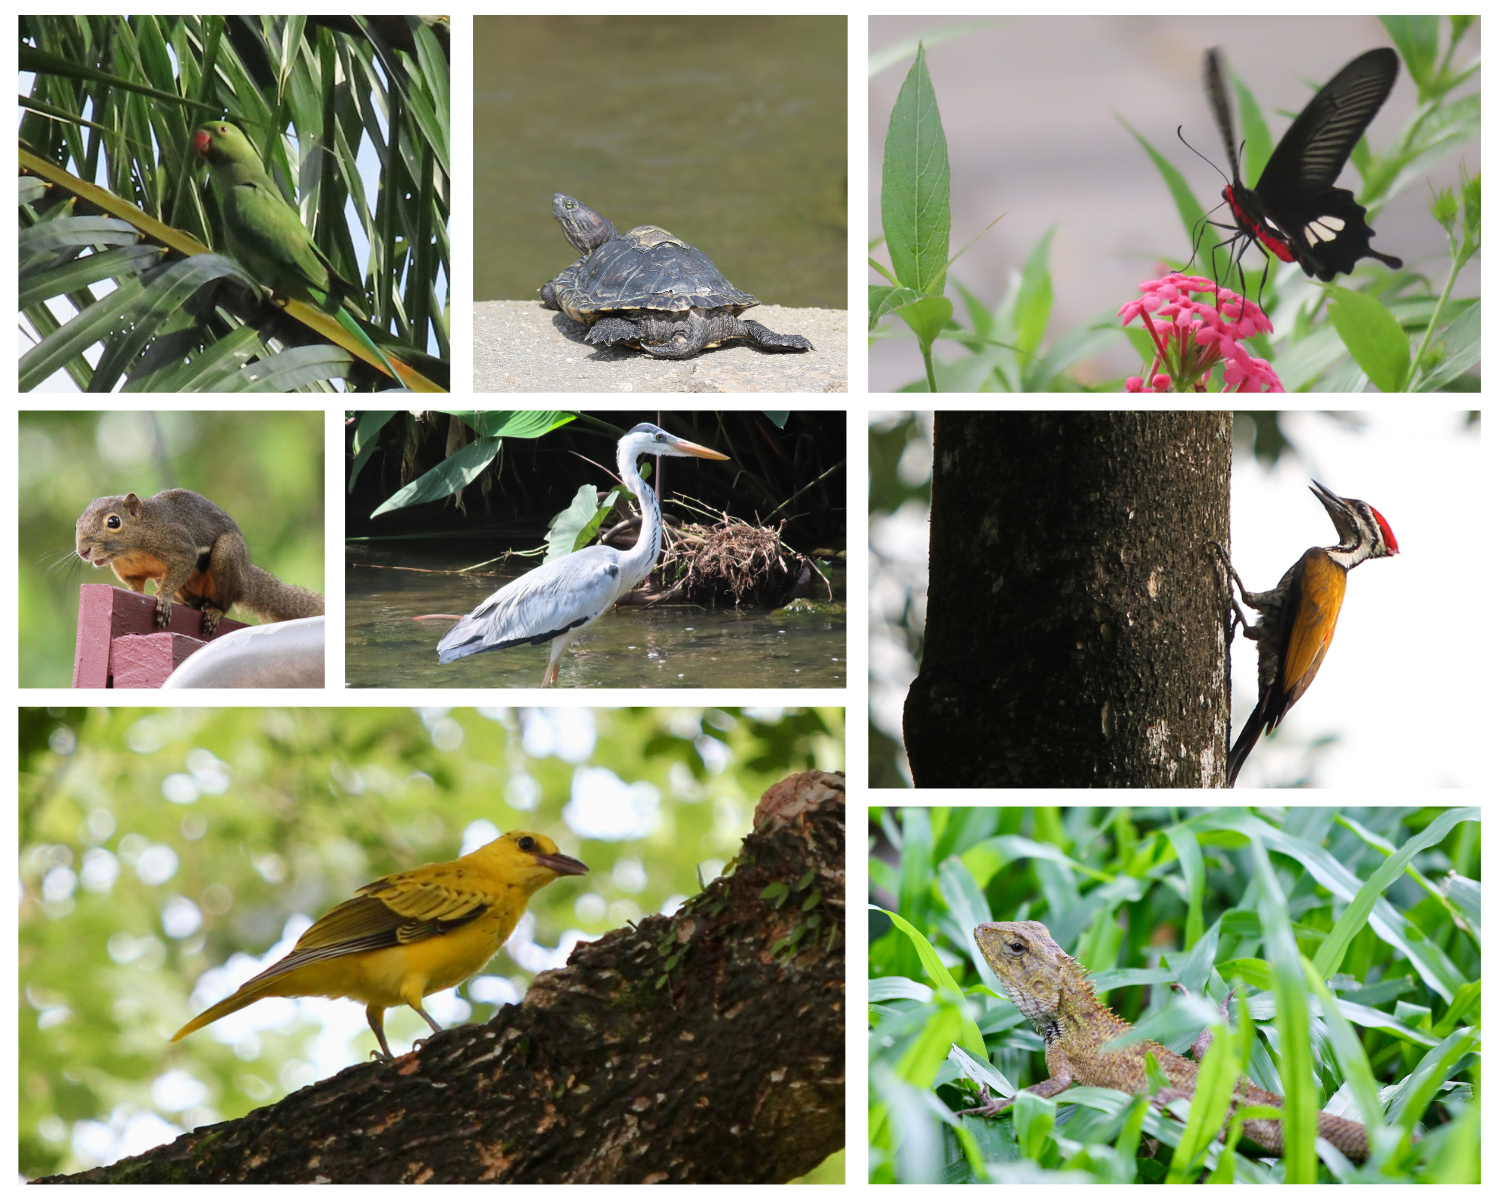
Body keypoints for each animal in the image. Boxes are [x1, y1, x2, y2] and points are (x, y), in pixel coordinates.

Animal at [75, 489, 324, 636]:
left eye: (113, 522)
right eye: (77, 524)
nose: (83, 551)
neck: (132, 550)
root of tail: (246, 578)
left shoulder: (180, 546)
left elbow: (181, 565)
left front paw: (163, 599)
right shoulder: (130, 572)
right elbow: (136, 586)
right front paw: (139, 595)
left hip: (227, 555)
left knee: (224, 602)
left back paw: (213, 611)